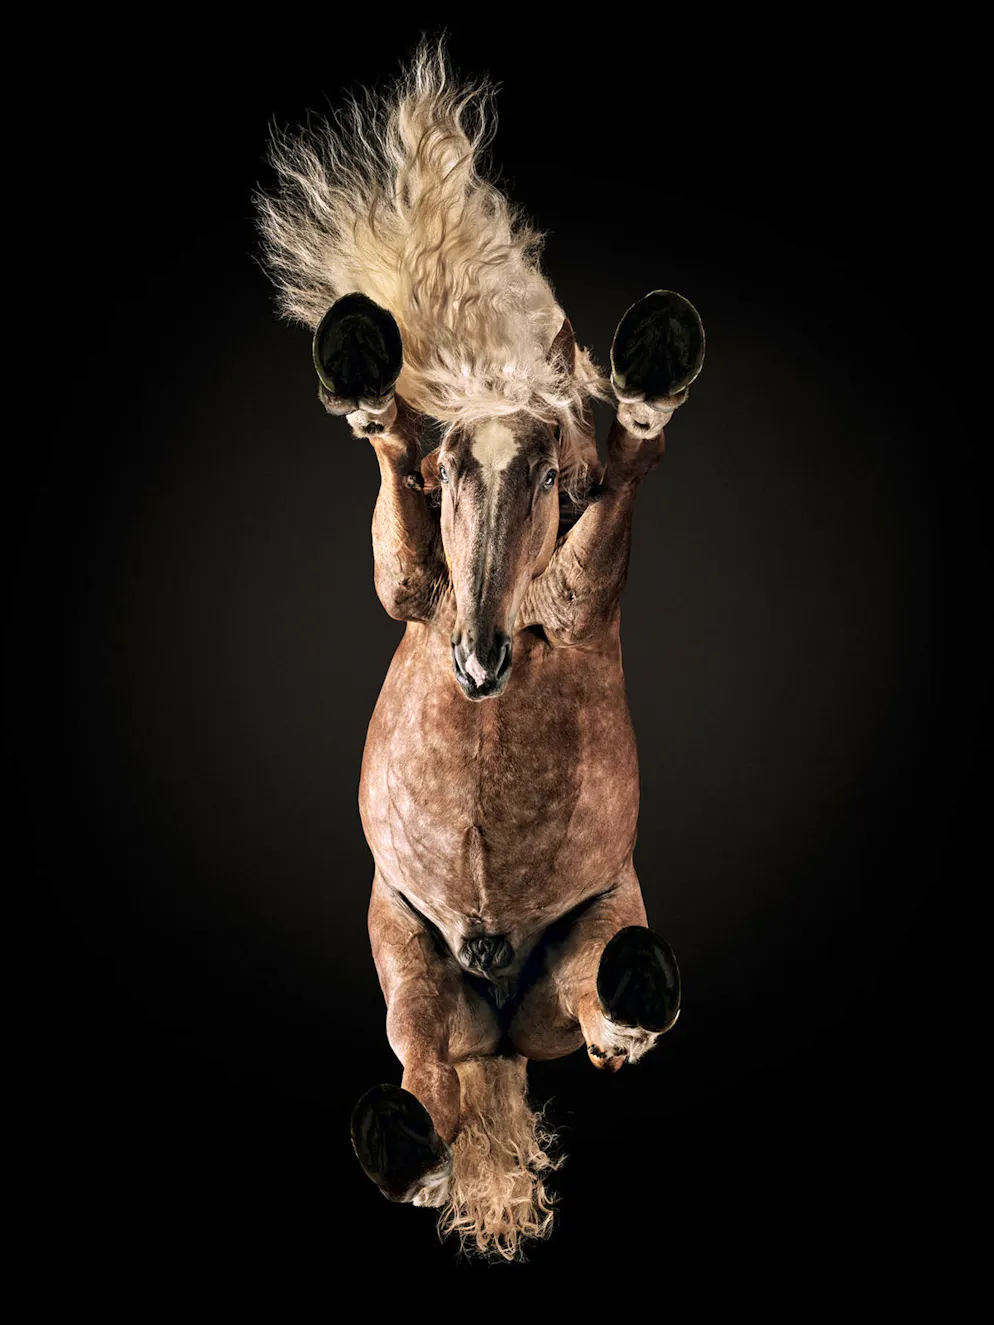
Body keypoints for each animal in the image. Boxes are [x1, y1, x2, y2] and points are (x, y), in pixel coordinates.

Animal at [255, 37, 705, 1260]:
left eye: (550, 475)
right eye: (446, 471)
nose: (479, 658)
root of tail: (497, 1021)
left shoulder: (581, 592)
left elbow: (613, 510)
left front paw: (651, 380)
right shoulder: (413, 587)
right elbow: (396, 537)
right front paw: (364, 384)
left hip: (582, 955)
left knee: (607, 1008)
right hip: (413, 969)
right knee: (431, 1080)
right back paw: (412, 1152)